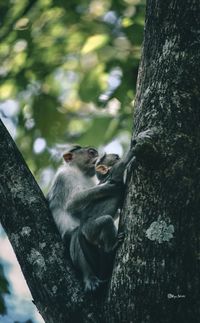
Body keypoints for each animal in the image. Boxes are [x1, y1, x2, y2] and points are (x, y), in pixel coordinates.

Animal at [69, 149, 136, 294]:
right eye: (116, 157)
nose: (118, 155)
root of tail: (82, 230)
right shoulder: (113, 175)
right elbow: (120, 166)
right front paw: (135, 149)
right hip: (90, 230)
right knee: (106, 220)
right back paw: (111, 246)